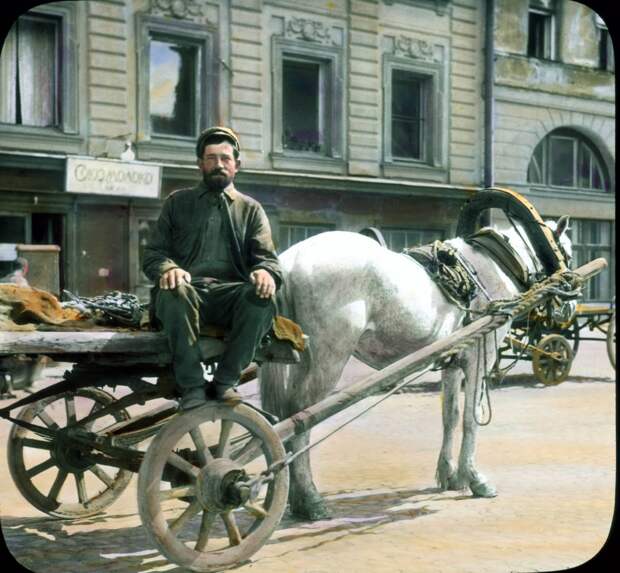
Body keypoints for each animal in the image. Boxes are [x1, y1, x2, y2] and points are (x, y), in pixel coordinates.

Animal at [258, 216, 572, 520]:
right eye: (568, 251)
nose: (568, 308)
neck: (493, 265)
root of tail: (291, 259)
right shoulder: (480, 355)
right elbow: (471, 417)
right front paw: (474, 478)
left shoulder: (453, 362)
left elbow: (450, 416)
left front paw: (450, 475)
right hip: (329, 356)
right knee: (301, 416)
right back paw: (310, 499)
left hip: (303, 356)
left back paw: (293, 495)